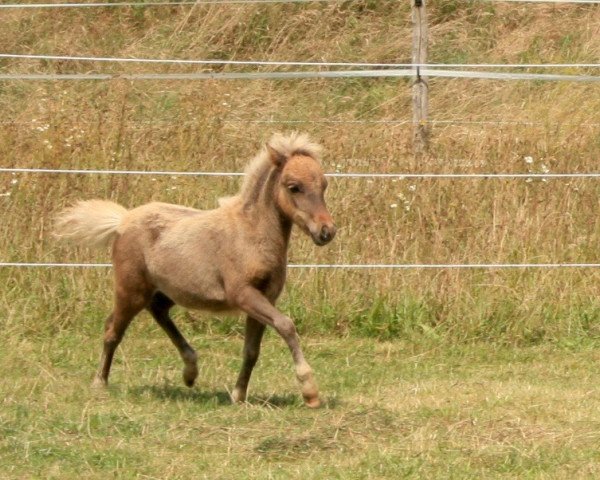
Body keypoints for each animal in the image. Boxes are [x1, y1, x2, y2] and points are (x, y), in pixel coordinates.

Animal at [55, 133, 338, 406]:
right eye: (294, 187)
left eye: (324, 185)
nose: (326, 232)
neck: (250, 233)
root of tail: (122, 220)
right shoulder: (243, 294)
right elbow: (286, 325)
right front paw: (310, 392)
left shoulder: (265, 297)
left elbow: (252, 350)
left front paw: (238, 395)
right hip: (131, 290)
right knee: (113, 329)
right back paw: (100, 383)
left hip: (165, 291)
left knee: (158, 312)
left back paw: (190, 371)